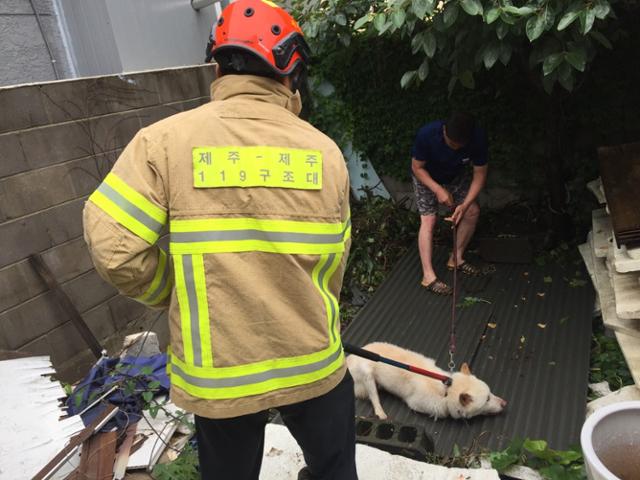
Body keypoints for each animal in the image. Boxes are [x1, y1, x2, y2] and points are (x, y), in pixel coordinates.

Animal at [348, 342, 508, 420]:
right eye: (487, 399)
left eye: (490, 393)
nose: (505, 403)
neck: (447, 390)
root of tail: (349, 358)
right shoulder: (417, 404)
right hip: (367, 374)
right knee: (374, 397)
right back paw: (380, 411)